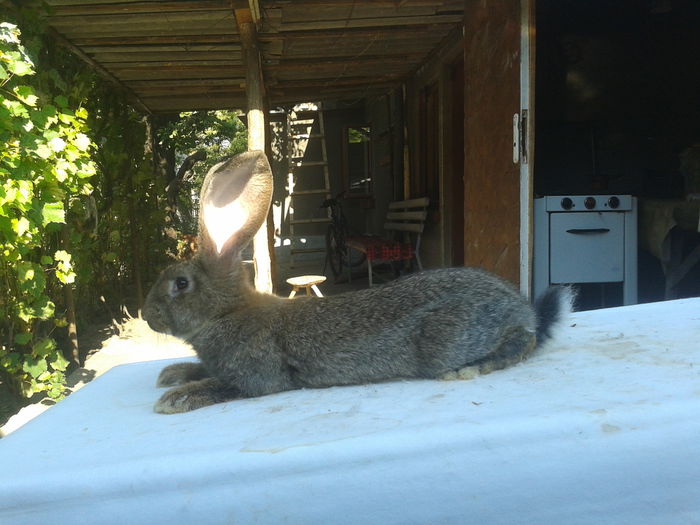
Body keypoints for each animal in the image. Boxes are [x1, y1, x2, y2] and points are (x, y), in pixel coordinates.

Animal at [141, 149, 568, 412]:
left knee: (523, 341)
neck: (227, 312)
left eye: (180, 284)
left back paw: (470, 368)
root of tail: (519, 307)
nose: (147, 316)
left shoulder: (258, 376)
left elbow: (228, 386)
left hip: (449, 339)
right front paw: (173, 374)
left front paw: (176, 398)